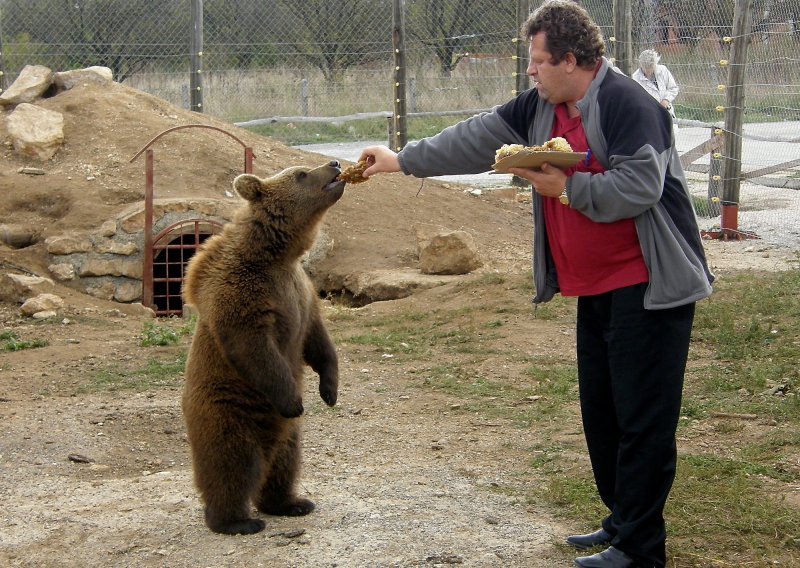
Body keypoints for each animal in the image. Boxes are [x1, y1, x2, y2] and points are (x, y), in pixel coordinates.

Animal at [183, 162, 346, 536]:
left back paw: (292, 503)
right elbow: (254, 346)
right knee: (233, 464)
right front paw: (294, 400)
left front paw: (329, 390)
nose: (333, 164)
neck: (276, 254)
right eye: (301, 174)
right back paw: (235, 520)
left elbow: (318, 339)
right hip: (229, 411)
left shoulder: (300, 291)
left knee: (284, 464)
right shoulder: (241, 290)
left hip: (287, 437)